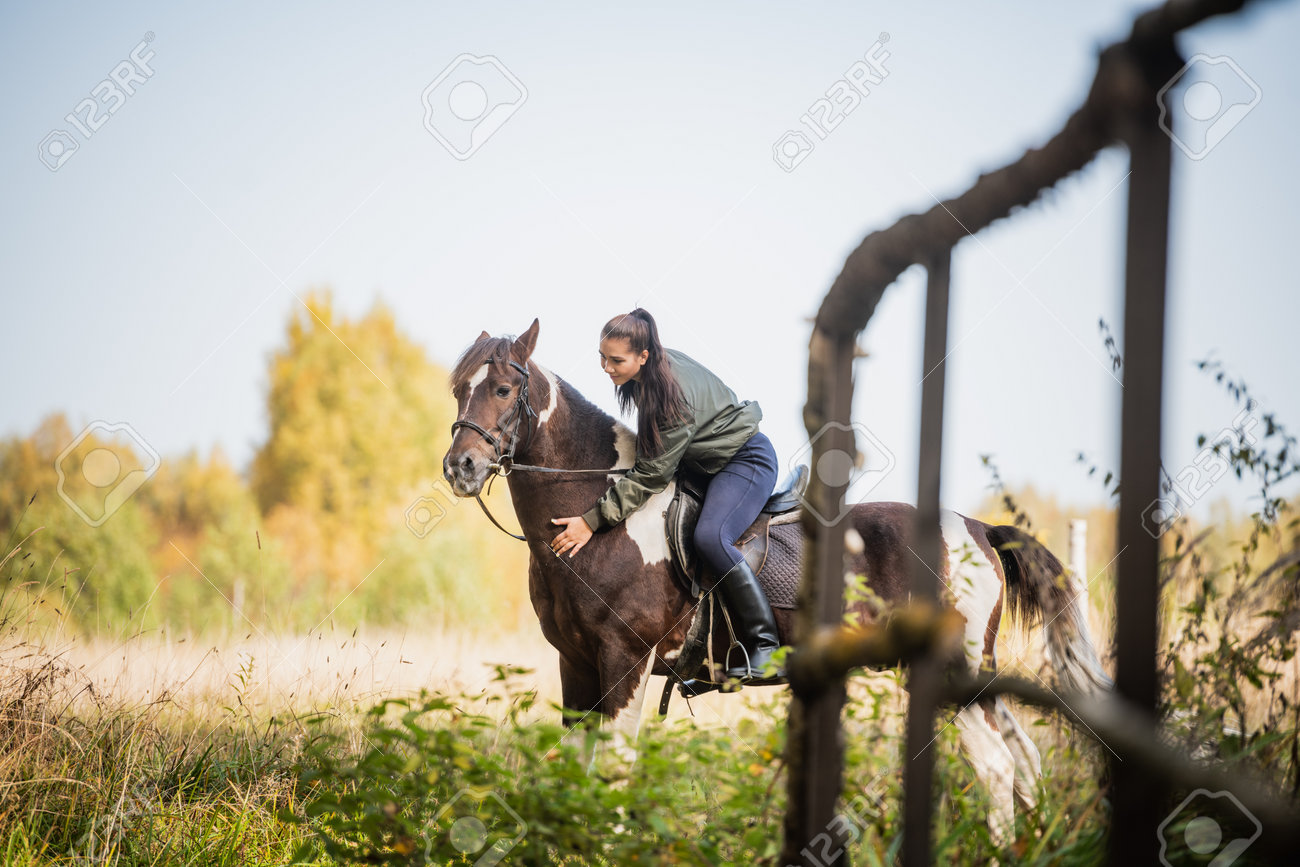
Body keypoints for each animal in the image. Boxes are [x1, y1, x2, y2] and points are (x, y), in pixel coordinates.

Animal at [441, 318, 1112, 842]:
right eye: (457, 391)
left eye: (503, 388)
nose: (460, 467)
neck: (598, 517)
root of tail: (975, 528)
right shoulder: (576, 664)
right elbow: (579, 773)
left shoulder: (624, 660)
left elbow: (615, 773)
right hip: (978, 678)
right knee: (1024, 761)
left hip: (951, 675)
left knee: (997, 768)